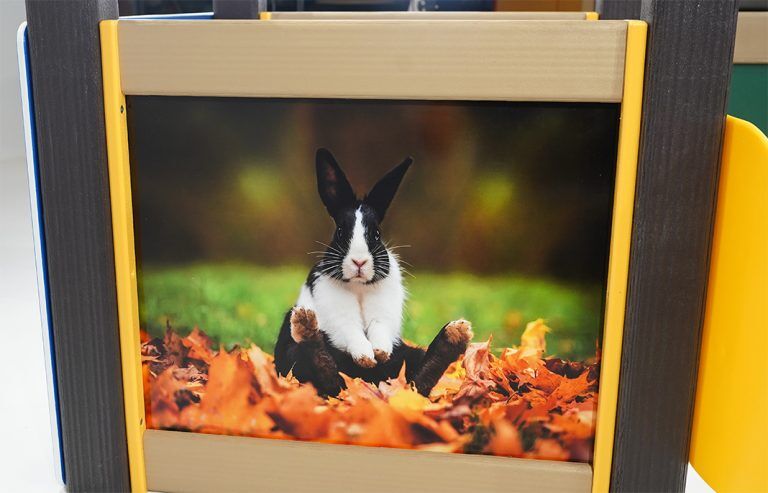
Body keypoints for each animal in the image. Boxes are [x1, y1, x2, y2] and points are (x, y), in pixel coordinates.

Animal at [274, 148, 473, 397]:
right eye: (340, 232)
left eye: (377, 234)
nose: (359, 261)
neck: (358, 286)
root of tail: (368, 380)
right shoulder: (336, 312)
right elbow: (351, 330)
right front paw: (366, 357)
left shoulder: (384, 313)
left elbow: (379, 328)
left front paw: (379, 352)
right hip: (292, 352)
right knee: (325, 373)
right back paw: (306, 326)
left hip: (408, 355)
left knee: (418, 382)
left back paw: (454, 335)